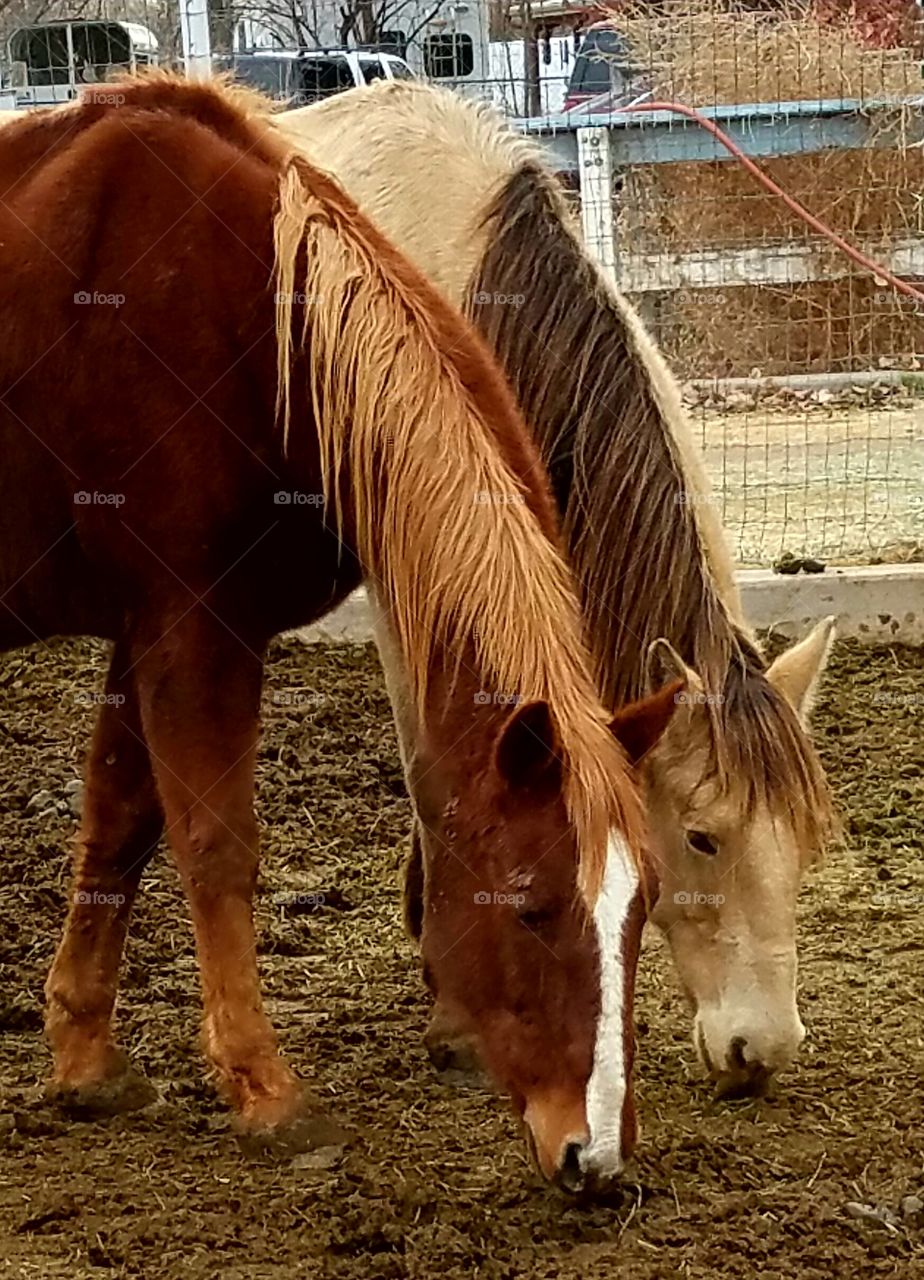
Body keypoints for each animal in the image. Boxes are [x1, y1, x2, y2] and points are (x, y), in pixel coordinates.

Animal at [0, 77, 670, 1187]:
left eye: (645, 905)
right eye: (532, 907)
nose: (597, 1156)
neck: (258, 324)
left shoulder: (148, 629)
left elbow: (121, 821)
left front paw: (86, 1061)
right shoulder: (195, 625)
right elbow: (214, 844)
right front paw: (266, 1090)